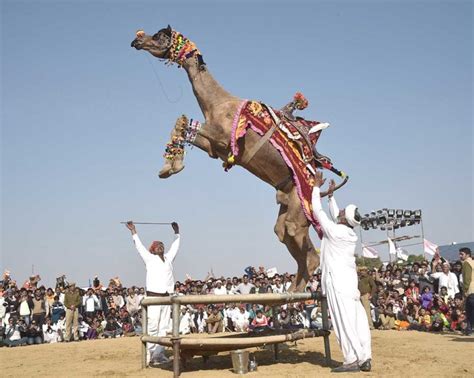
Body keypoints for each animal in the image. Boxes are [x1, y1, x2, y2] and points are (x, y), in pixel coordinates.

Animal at [131, 25, 344, 292]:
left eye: (160, 36)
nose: (137, 40)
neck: (217, 103)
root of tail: (319, 180)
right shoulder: (215, 147)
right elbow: (182, 124)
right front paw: (169, 167)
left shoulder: (224, 139)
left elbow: (183, 121)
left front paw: (171, 166)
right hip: (289, 204)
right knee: (285, 234)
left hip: (302, 206)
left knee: (304, 245)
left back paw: (293, 295)